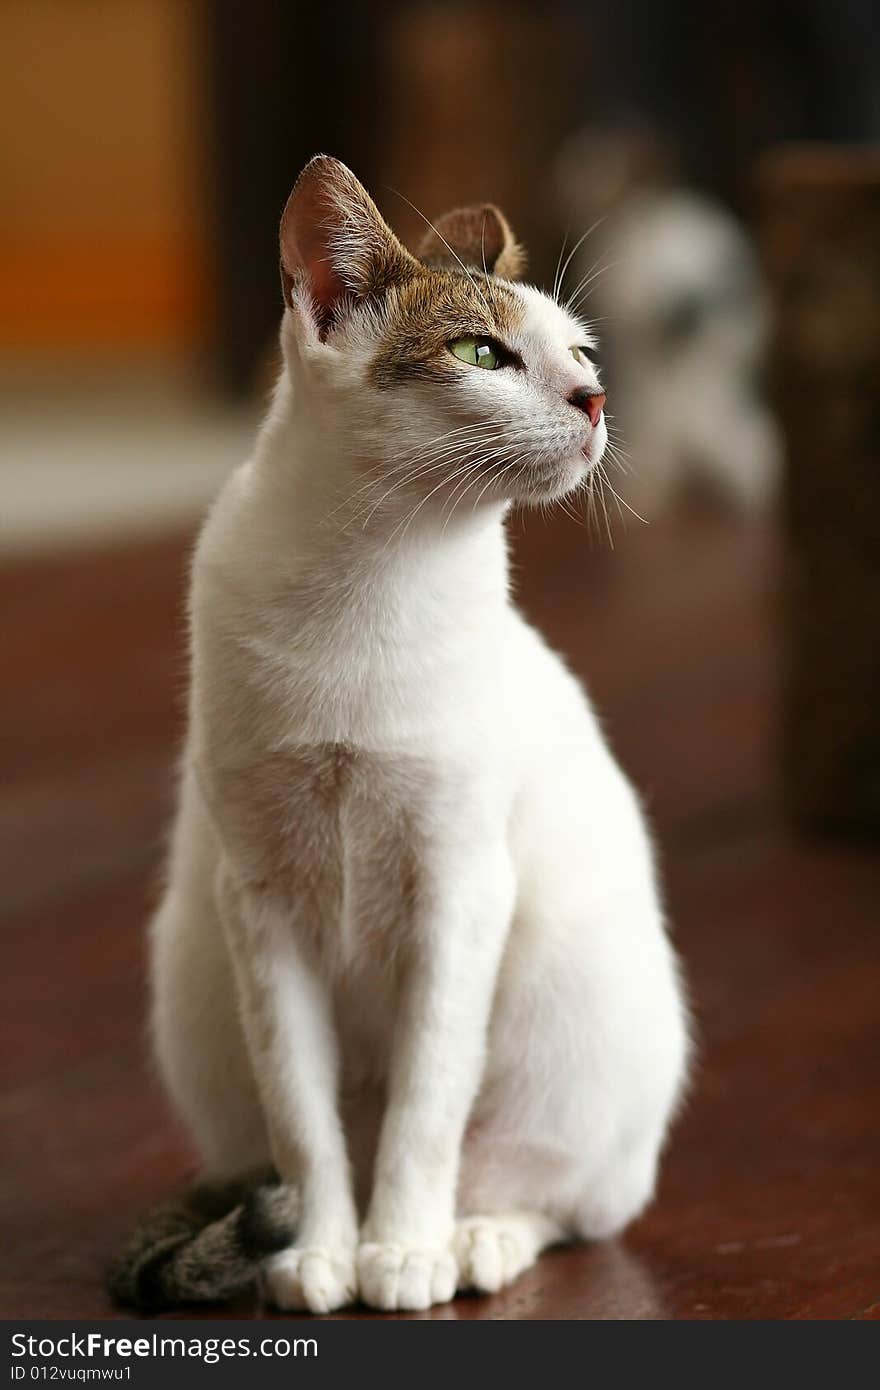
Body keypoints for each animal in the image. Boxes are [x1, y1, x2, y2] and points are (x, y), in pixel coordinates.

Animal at [108, 157, 686, 1306]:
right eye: (481, 353)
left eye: (581, 353)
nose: (598, 399)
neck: (371, 575)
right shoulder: (261, 905)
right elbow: (306, 1126)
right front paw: (323, 1252)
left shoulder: (458, 890)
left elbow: (428, 1107)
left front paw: (401, 1251)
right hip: (197, 979)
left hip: (562, 1024)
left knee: (557, 1198)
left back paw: (469, 1241)